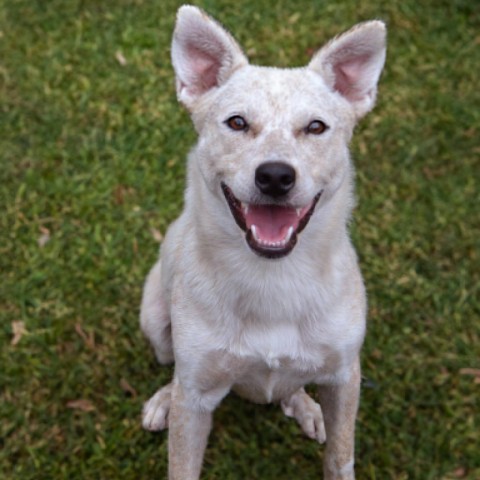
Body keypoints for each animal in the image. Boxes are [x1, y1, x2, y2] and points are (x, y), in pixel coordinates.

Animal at [141, 5, 388, 478]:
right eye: (237, 122)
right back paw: (163, 398)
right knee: (171, 368)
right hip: (153, 318)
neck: (273, 279)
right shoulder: (196, 394)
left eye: (316, 127)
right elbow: (182, 457)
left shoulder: (346, 376)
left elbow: (340, 457)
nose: (275, 176)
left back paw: (303, 405)